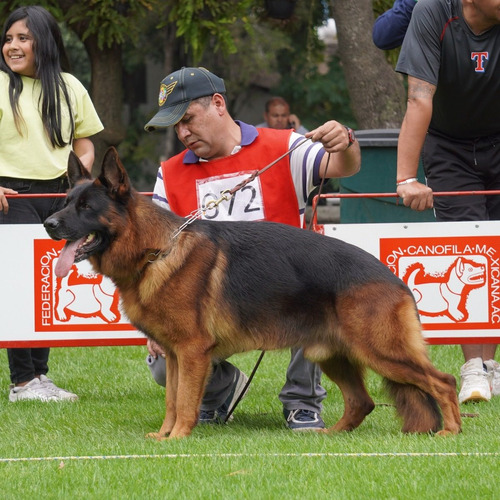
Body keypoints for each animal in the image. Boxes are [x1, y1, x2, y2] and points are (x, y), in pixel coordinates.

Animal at [44, 146, 460, 440]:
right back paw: (330, 435)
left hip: (382, 352)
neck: (155, 250)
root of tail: (395, 279)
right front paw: (164, 436)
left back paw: (450, 431)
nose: (48, 224)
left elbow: (184, 402)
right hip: (334, 355)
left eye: (86, 207)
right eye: (66, 203)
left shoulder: (191, 352)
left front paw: (177, 438)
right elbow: (172, 400)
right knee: (363, 401)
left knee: (443, 382)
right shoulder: (175, 356)